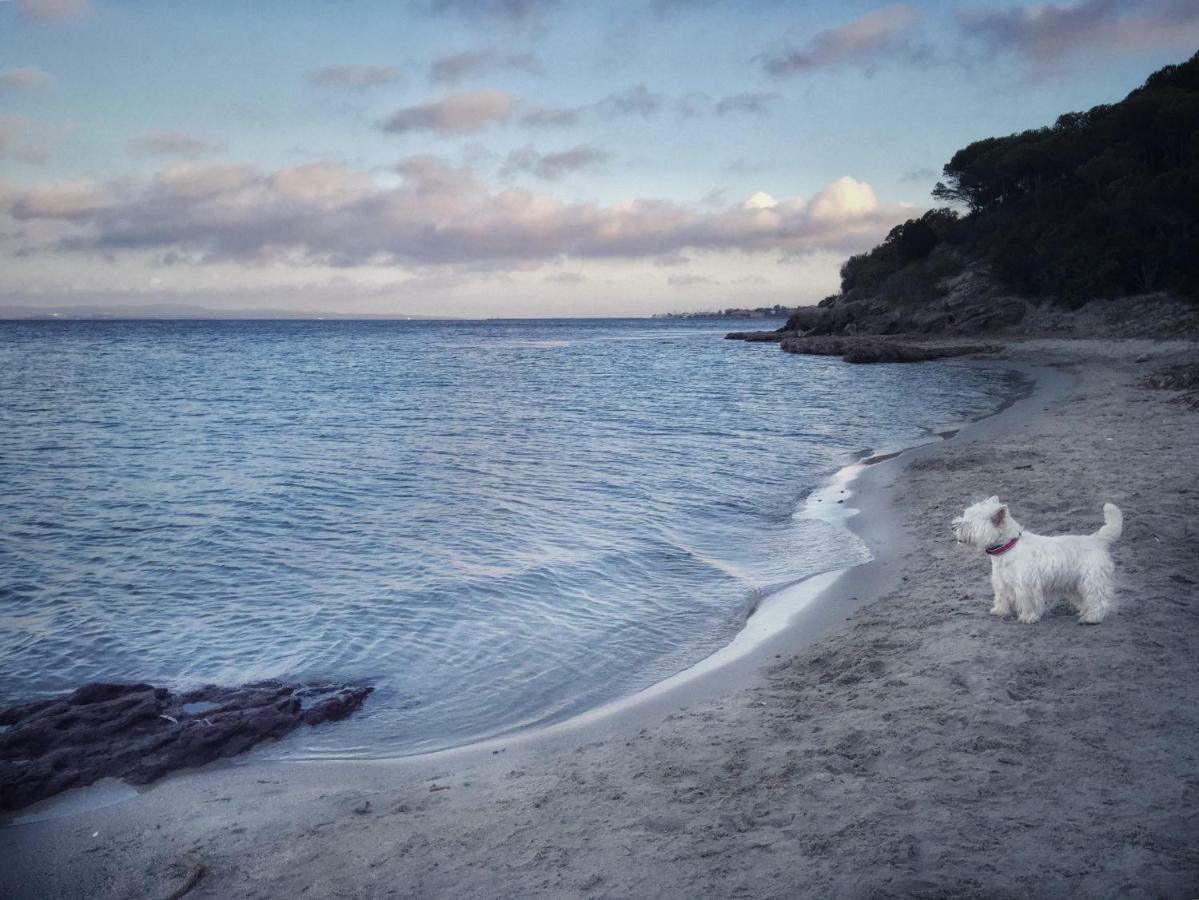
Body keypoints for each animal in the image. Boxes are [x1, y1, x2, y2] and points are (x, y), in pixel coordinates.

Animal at [954, 496, 1122, 623]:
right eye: (966, 515)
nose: (953, 527)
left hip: (1091, 579)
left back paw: (1092, 617)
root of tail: (1097, 539)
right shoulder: (1001, 582)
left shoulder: (1026, 584)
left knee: (1098, 597)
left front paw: (1028, 618)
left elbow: (1028, 602)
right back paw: (1084, 612)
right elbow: (1001, 598)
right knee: (1085, 599)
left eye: (970, 522)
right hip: (1075, 584)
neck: (1008, 547)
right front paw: (999, 611)